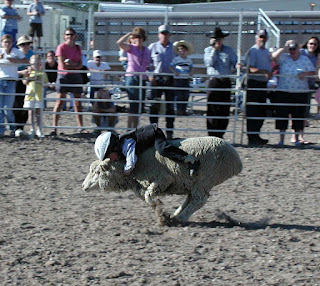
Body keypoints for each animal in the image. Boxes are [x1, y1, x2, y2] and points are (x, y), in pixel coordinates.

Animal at [82, 137, 242, 226]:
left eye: (97, 172)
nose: (83, 186)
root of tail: (237, 159)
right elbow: (146, 197)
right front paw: (161, 212)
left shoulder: (163, 180)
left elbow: (148, 196)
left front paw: (160, 210)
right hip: (195, 183)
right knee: (191, 199)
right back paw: (176, 215)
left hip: (204, 180)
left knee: (199, 200)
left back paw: (180, 218)